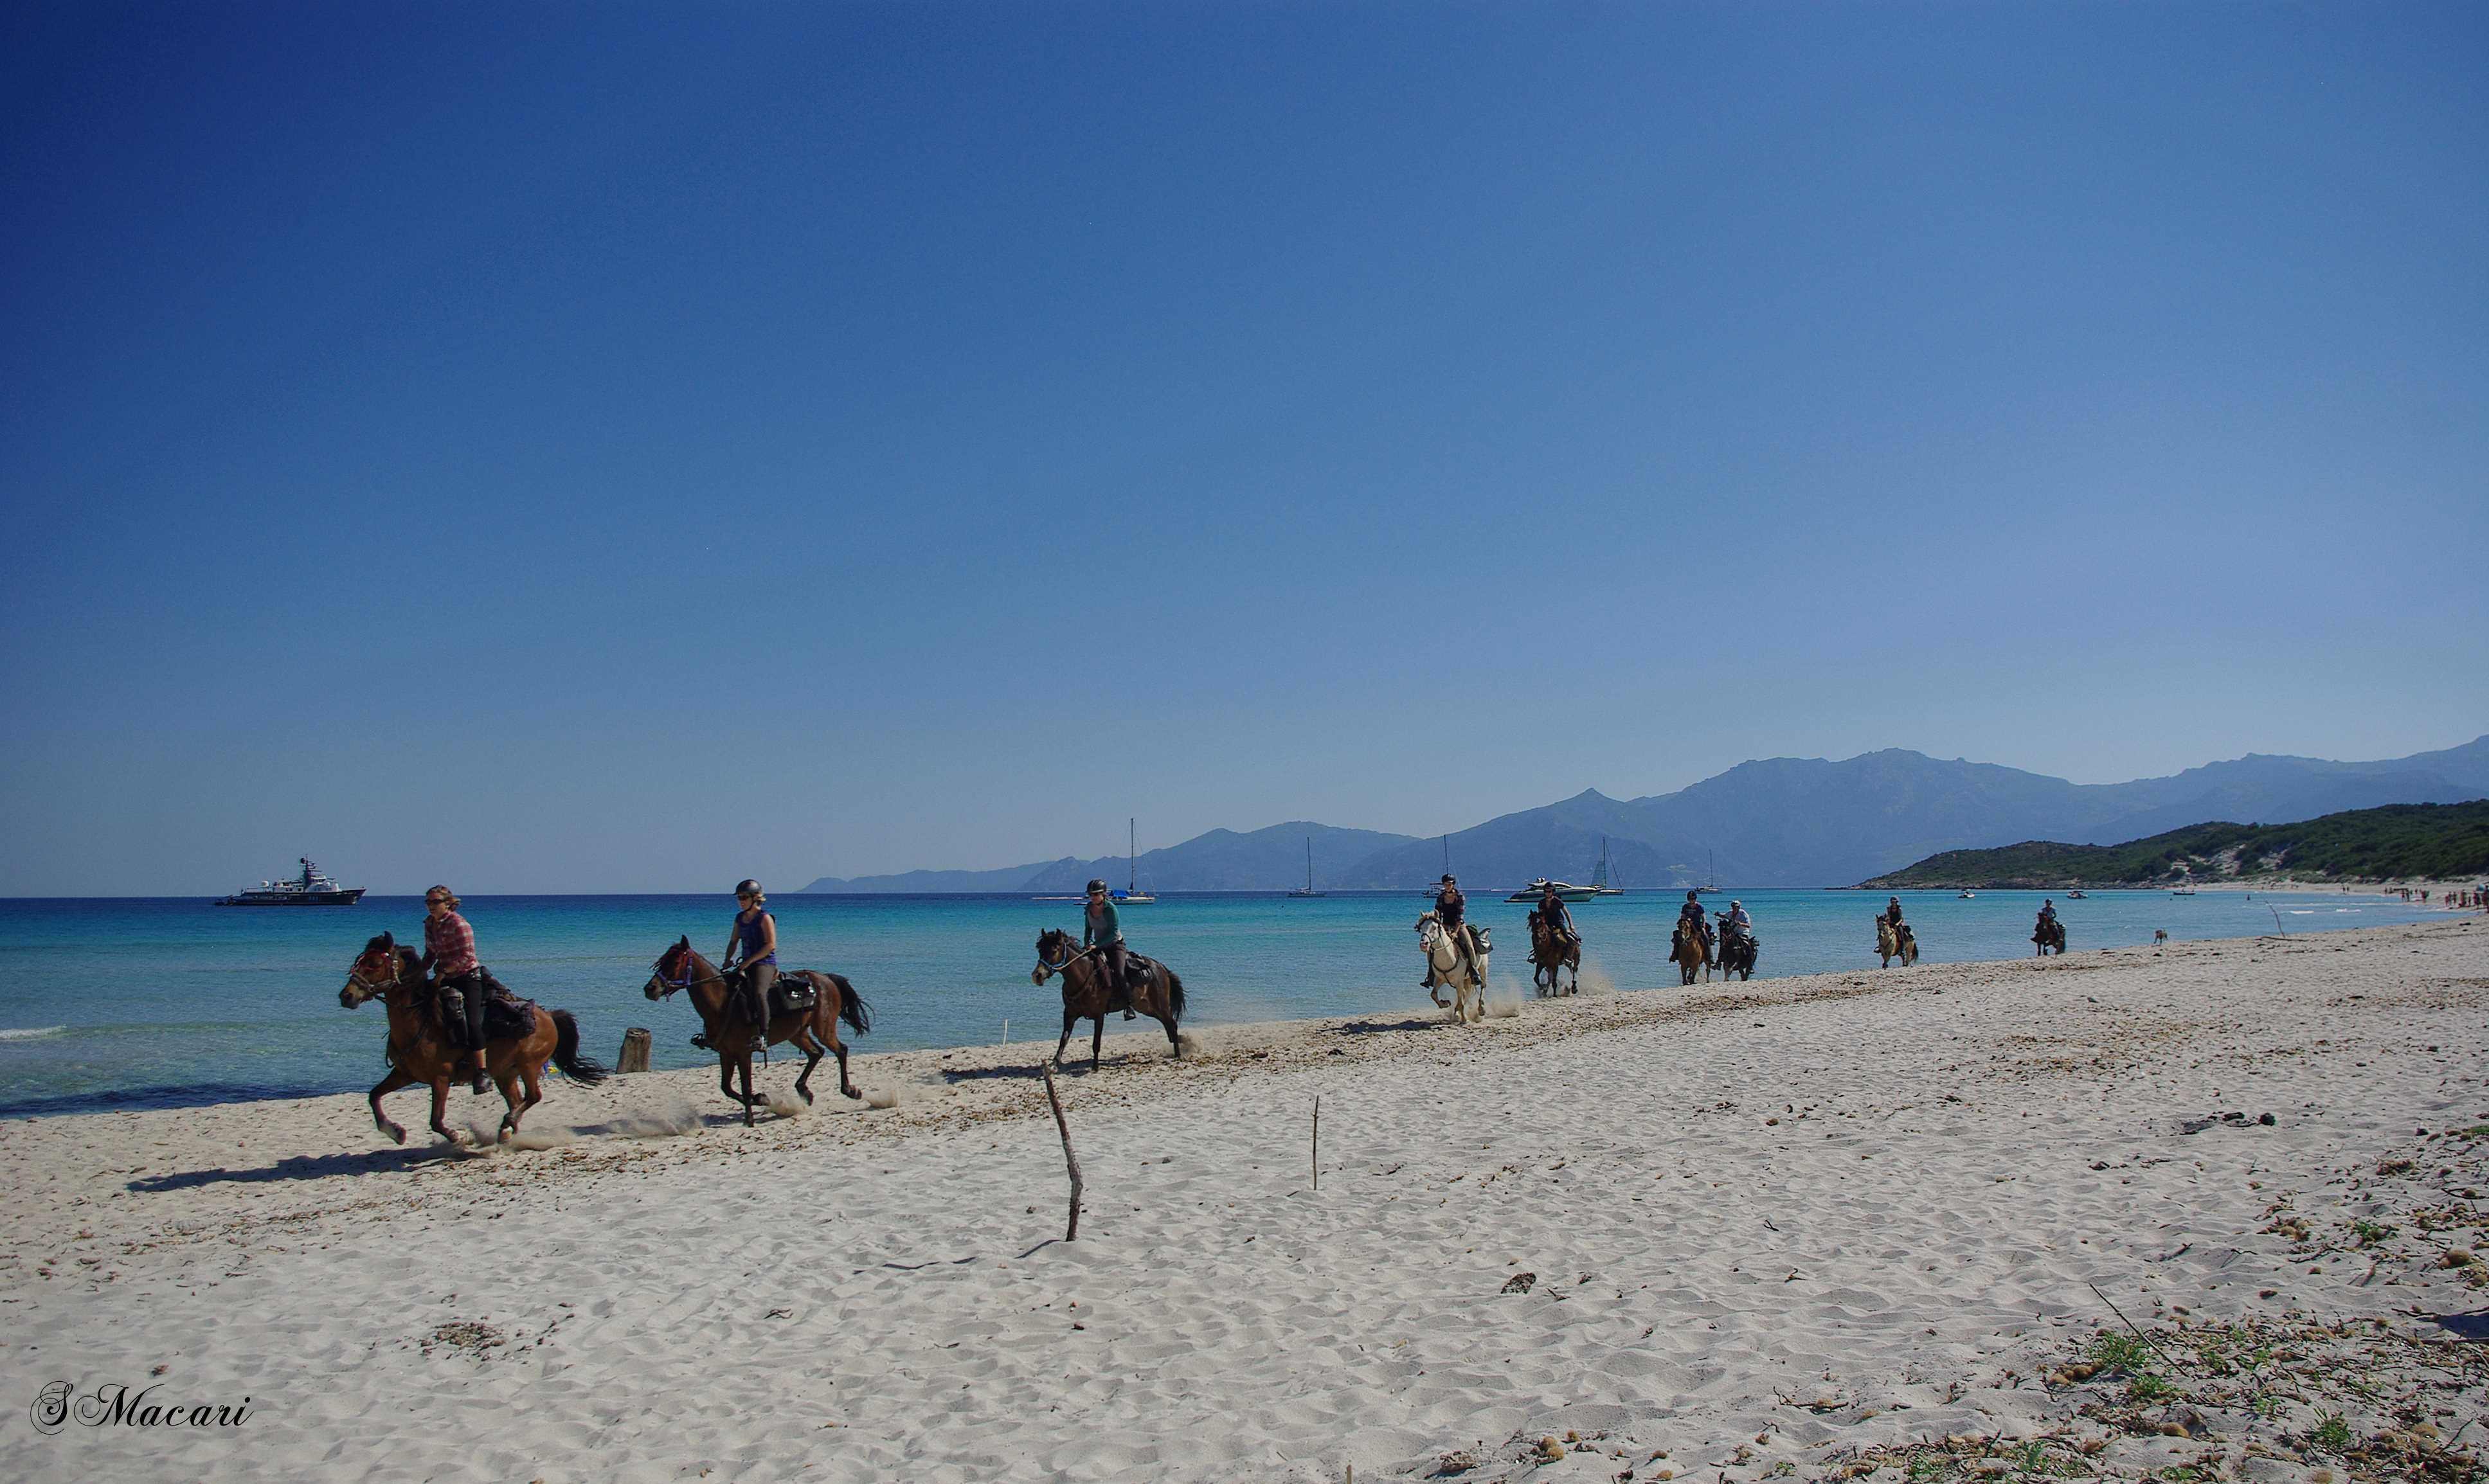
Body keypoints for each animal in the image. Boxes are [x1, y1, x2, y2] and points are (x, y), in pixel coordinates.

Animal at [340, 933, 607, 1146]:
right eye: (358, 961)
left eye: (374, 964)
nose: (346, 996)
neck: (421, 1020)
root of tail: (548, 1015)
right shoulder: (403, 1074)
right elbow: (373, 1096)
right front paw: (396, 1132)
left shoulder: (440, 1079)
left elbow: (436, 1120)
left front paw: (460, 1137)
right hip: (505, 1073)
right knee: (517, 1100)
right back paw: (507, 1131)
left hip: (529, 1065)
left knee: (533, 1097)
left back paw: (507, 1125)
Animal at [643, 938, 871, 1125]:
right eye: (661, 962)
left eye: (675, 962)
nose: (650, 989)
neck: (723, 1003)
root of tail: (825, 979)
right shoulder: (726, 1054)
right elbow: (726, 1088)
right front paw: (762, 1099)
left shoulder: (744, 1053)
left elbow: (745, 1086)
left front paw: (750, 1118)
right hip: (797, 1034)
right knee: (816, 1053)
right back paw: (805, 1092)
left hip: (823, 1028)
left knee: (841, 1050)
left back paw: (850, 1091)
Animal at [1030, 928, 1187, 1071]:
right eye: (1040, 950)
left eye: (1054, 950)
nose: (1037, 976)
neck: (1084, 976)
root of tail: (1161, 967)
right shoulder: (1069, 1014)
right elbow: (1064, 1039)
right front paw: (1054, 1064)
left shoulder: (1099, 1015)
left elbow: (1096, 1042)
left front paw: (1095, 1066)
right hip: (1147, 1008)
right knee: (1168, 1025)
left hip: (1161, 1005)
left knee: (1172, 1024)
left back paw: (1179, 1054)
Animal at [1415, 912, 1489, 1023]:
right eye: (1421, 928)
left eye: (1434, 928)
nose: (1424, 945)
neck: (1449, 957)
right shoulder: (1440, 979)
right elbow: (1433, 994)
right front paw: (1445, 1004)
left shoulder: (1459, 981)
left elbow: (1461, 1001)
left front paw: (1464, 1020)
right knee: (1465, 994)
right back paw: (1456, 1013)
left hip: (1483, 969)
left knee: (1483, 986)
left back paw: (1481, 1010)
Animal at [1527, 910, 1580, 997]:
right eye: (1532, 923)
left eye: (1542, 923)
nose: (1537, 937)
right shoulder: (1541, 964)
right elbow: (1536, 978)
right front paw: (1543, 988)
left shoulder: (1555, 965)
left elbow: (1554, 983)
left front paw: (1554, 995)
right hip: (1557, 965)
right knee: (1569, 969)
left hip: (1576, 958)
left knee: (1574, 970)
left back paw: (1574, 988)